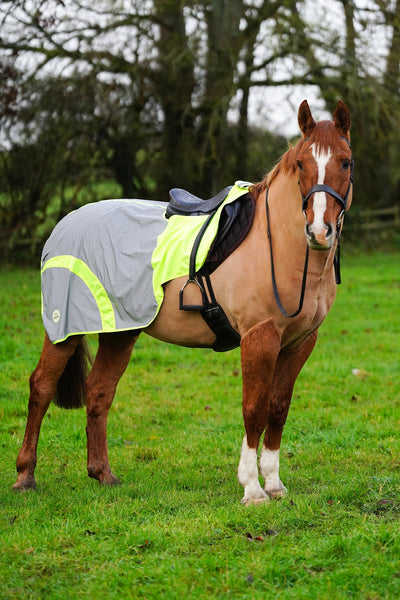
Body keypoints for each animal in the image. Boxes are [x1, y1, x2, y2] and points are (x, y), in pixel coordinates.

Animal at [13, 101, 354, 504]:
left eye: (346, 162)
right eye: (301, 163)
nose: (319, 231)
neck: (278, 246)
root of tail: (66, 224)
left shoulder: (299, 343)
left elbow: (278, 408)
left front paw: (274, 483)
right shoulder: (260, 338)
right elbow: (254, 408)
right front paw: (252, 488)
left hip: (119, 331)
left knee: (99, 391)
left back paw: (103, 474)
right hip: (64, 328)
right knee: (41, 388)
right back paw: (25, 477)